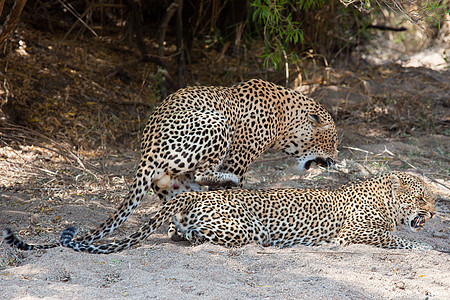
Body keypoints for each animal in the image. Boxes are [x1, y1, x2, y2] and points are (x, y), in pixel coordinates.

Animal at [1, 78, 338, 250]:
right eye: (332, 141)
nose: (335, 159)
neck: (285, 122)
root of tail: (146, 153)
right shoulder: (240, 156)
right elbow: (238, 189)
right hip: (214, 124)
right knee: (205, 173)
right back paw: (221, 186)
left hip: (172, 182)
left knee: (182, 203)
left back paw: (181, 231)